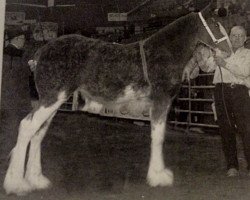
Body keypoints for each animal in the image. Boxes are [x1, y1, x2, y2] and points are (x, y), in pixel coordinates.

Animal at [2, 1, 231, 195]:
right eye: (216, 25)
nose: (228, 51)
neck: (163, 52)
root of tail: (40, 53)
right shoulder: (160, 101)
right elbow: (158, 137)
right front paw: (158, 177)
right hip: (51, 99)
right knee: (27, 127)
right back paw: (16, 184)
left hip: (53, 101)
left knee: (38, 133)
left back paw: (36, 179)